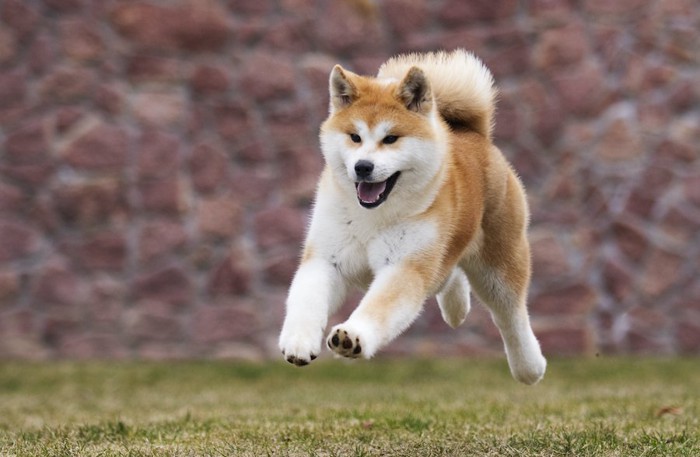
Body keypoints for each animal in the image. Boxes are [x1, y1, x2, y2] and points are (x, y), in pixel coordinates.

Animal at [278, 50, 548, 382]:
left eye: (391, 138)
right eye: (355, 137)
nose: (363, 166)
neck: (373, 217)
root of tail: (475, 135)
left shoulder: (405, 266)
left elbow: (379, 307)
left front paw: (353, 336)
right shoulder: (327, 257)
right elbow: (307, 300)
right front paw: (298, 342)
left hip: (499, 266)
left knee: (511, 317)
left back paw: (529, 367)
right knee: (449, 274)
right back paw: (456, 307)